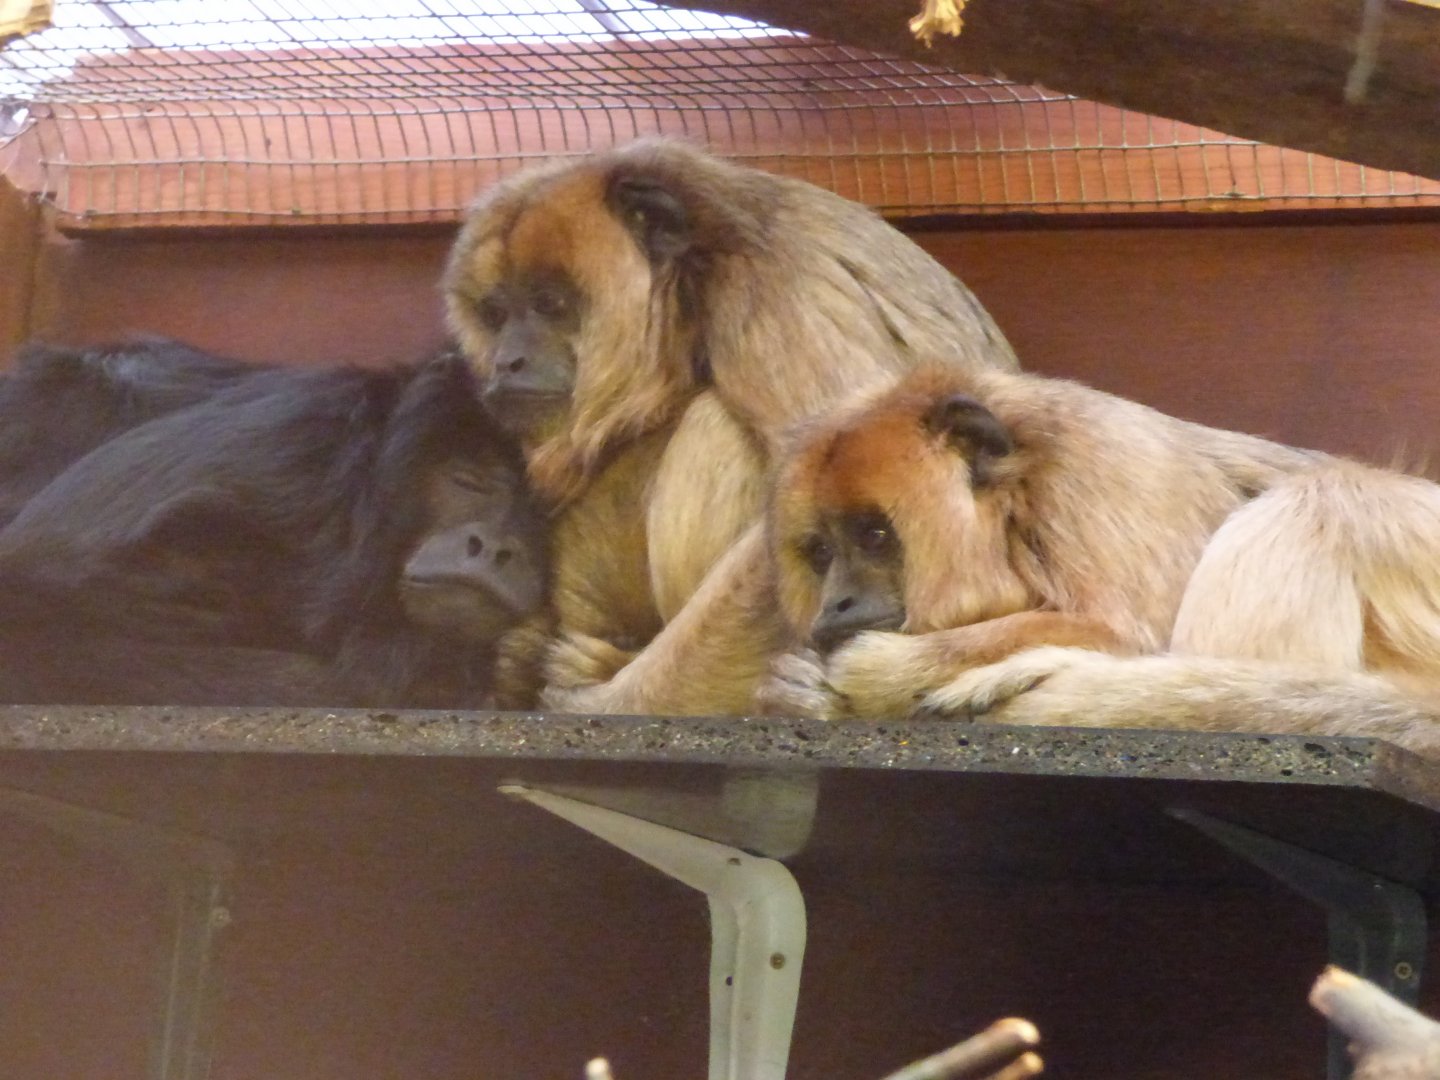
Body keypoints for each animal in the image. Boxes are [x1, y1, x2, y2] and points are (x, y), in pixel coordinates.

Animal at [444, 138, 1019, 715]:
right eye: (496, 313)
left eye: (549, 303)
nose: (508, 362)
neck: (696, 280)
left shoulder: (780, 298)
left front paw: (607, 706)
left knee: (714, 423)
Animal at [756, 363, 1440, 750]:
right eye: (821, 551)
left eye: (874, 534)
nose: (837, 602)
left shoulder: (1104, 471)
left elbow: (1128, 635)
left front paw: (879, 675)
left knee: (1324, 498)